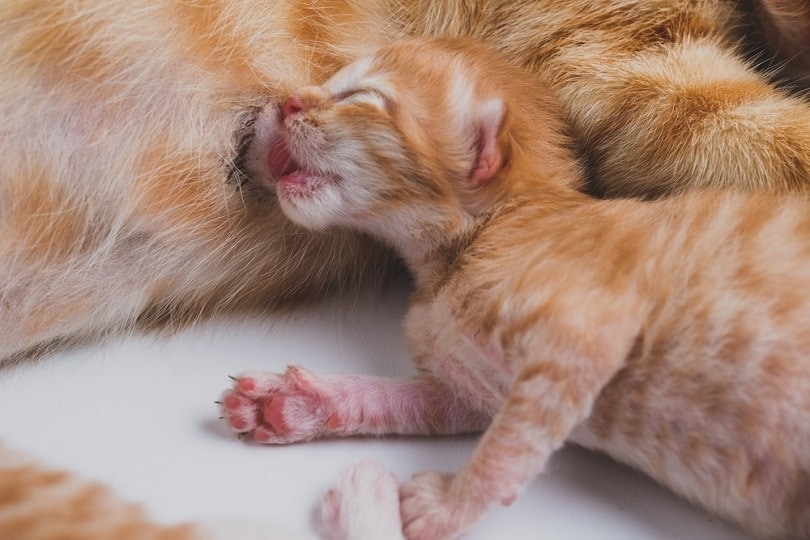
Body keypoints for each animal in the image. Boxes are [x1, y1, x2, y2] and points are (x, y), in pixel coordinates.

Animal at [223, 37, 808, 536]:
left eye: (363, 95)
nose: (289, 102)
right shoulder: (475, 389)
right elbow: (413, 400)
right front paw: (301, 401)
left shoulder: (581, 335)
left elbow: (504, 451)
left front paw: (446, 506)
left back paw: (363, 500)